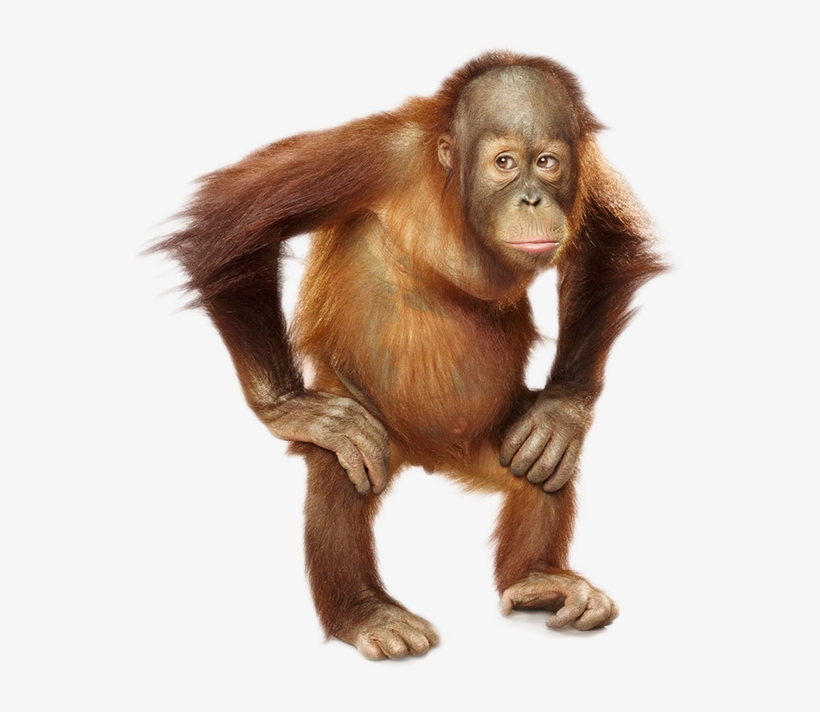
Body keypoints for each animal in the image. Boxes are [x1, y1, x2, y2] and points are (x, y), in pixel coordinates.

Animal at [158, 52, 664, 660]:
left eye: (546, 163)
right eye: (504, 163)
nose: (532, 198)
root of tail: (429, 456)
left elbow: (606, 246)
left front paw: (562, 411)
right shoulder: (377, 156)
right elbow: (227, 225)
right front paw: (289, 409)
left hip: (493, 438)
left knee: (541, 467)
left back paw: (539, 577)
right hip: (376, 436)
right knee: (338, 470)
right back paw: (366, 612)